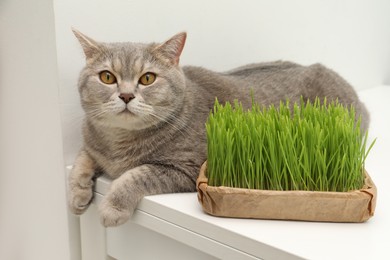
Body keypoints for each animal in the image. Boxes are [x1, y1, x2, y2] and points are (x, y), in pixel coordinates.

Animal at [67, 29, 368, 226]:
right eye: (107, 77)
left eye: (148, 78)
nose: (127, 95)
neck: (118, 145)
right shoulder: (91, 145)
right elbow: (80, 162)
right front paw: (77, 196)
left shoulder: (186, 168)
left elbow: (136, 175)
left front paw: (112, 208)